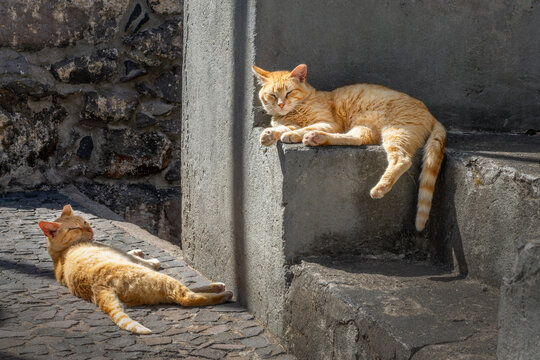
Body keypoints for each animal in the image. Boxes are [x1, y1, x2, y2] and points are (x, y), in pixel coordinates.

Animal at [38, 205, 232, 334]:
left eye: (85, 221)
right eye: (76, 228)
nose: (90, 229)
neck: (60, 253)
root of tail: (98, 289)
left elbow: (131, 252)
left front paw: (138, 250)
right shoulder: (124, 255)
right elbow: (139, 258)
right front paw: (151, 259)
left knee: (185, 291)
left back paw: (217, 287)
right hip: (157, 278)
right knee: (186, 297)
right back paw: (223, 293)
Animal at [251, 64, 446, 231]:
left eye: (289, 93)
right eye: (273, 95)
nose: (281, 104)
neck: (293, 112)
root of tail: (432, 115)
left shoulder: (328, 123)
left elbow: (300, 129)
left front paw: (291, 134)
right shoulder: (292, 123)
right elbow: (283, 128)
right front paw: (269, 134)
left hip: (395, 132)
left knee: (402, 160)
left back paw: (379, 188)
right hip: (365, 128)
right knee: (356, 139)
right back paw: (317, 138)